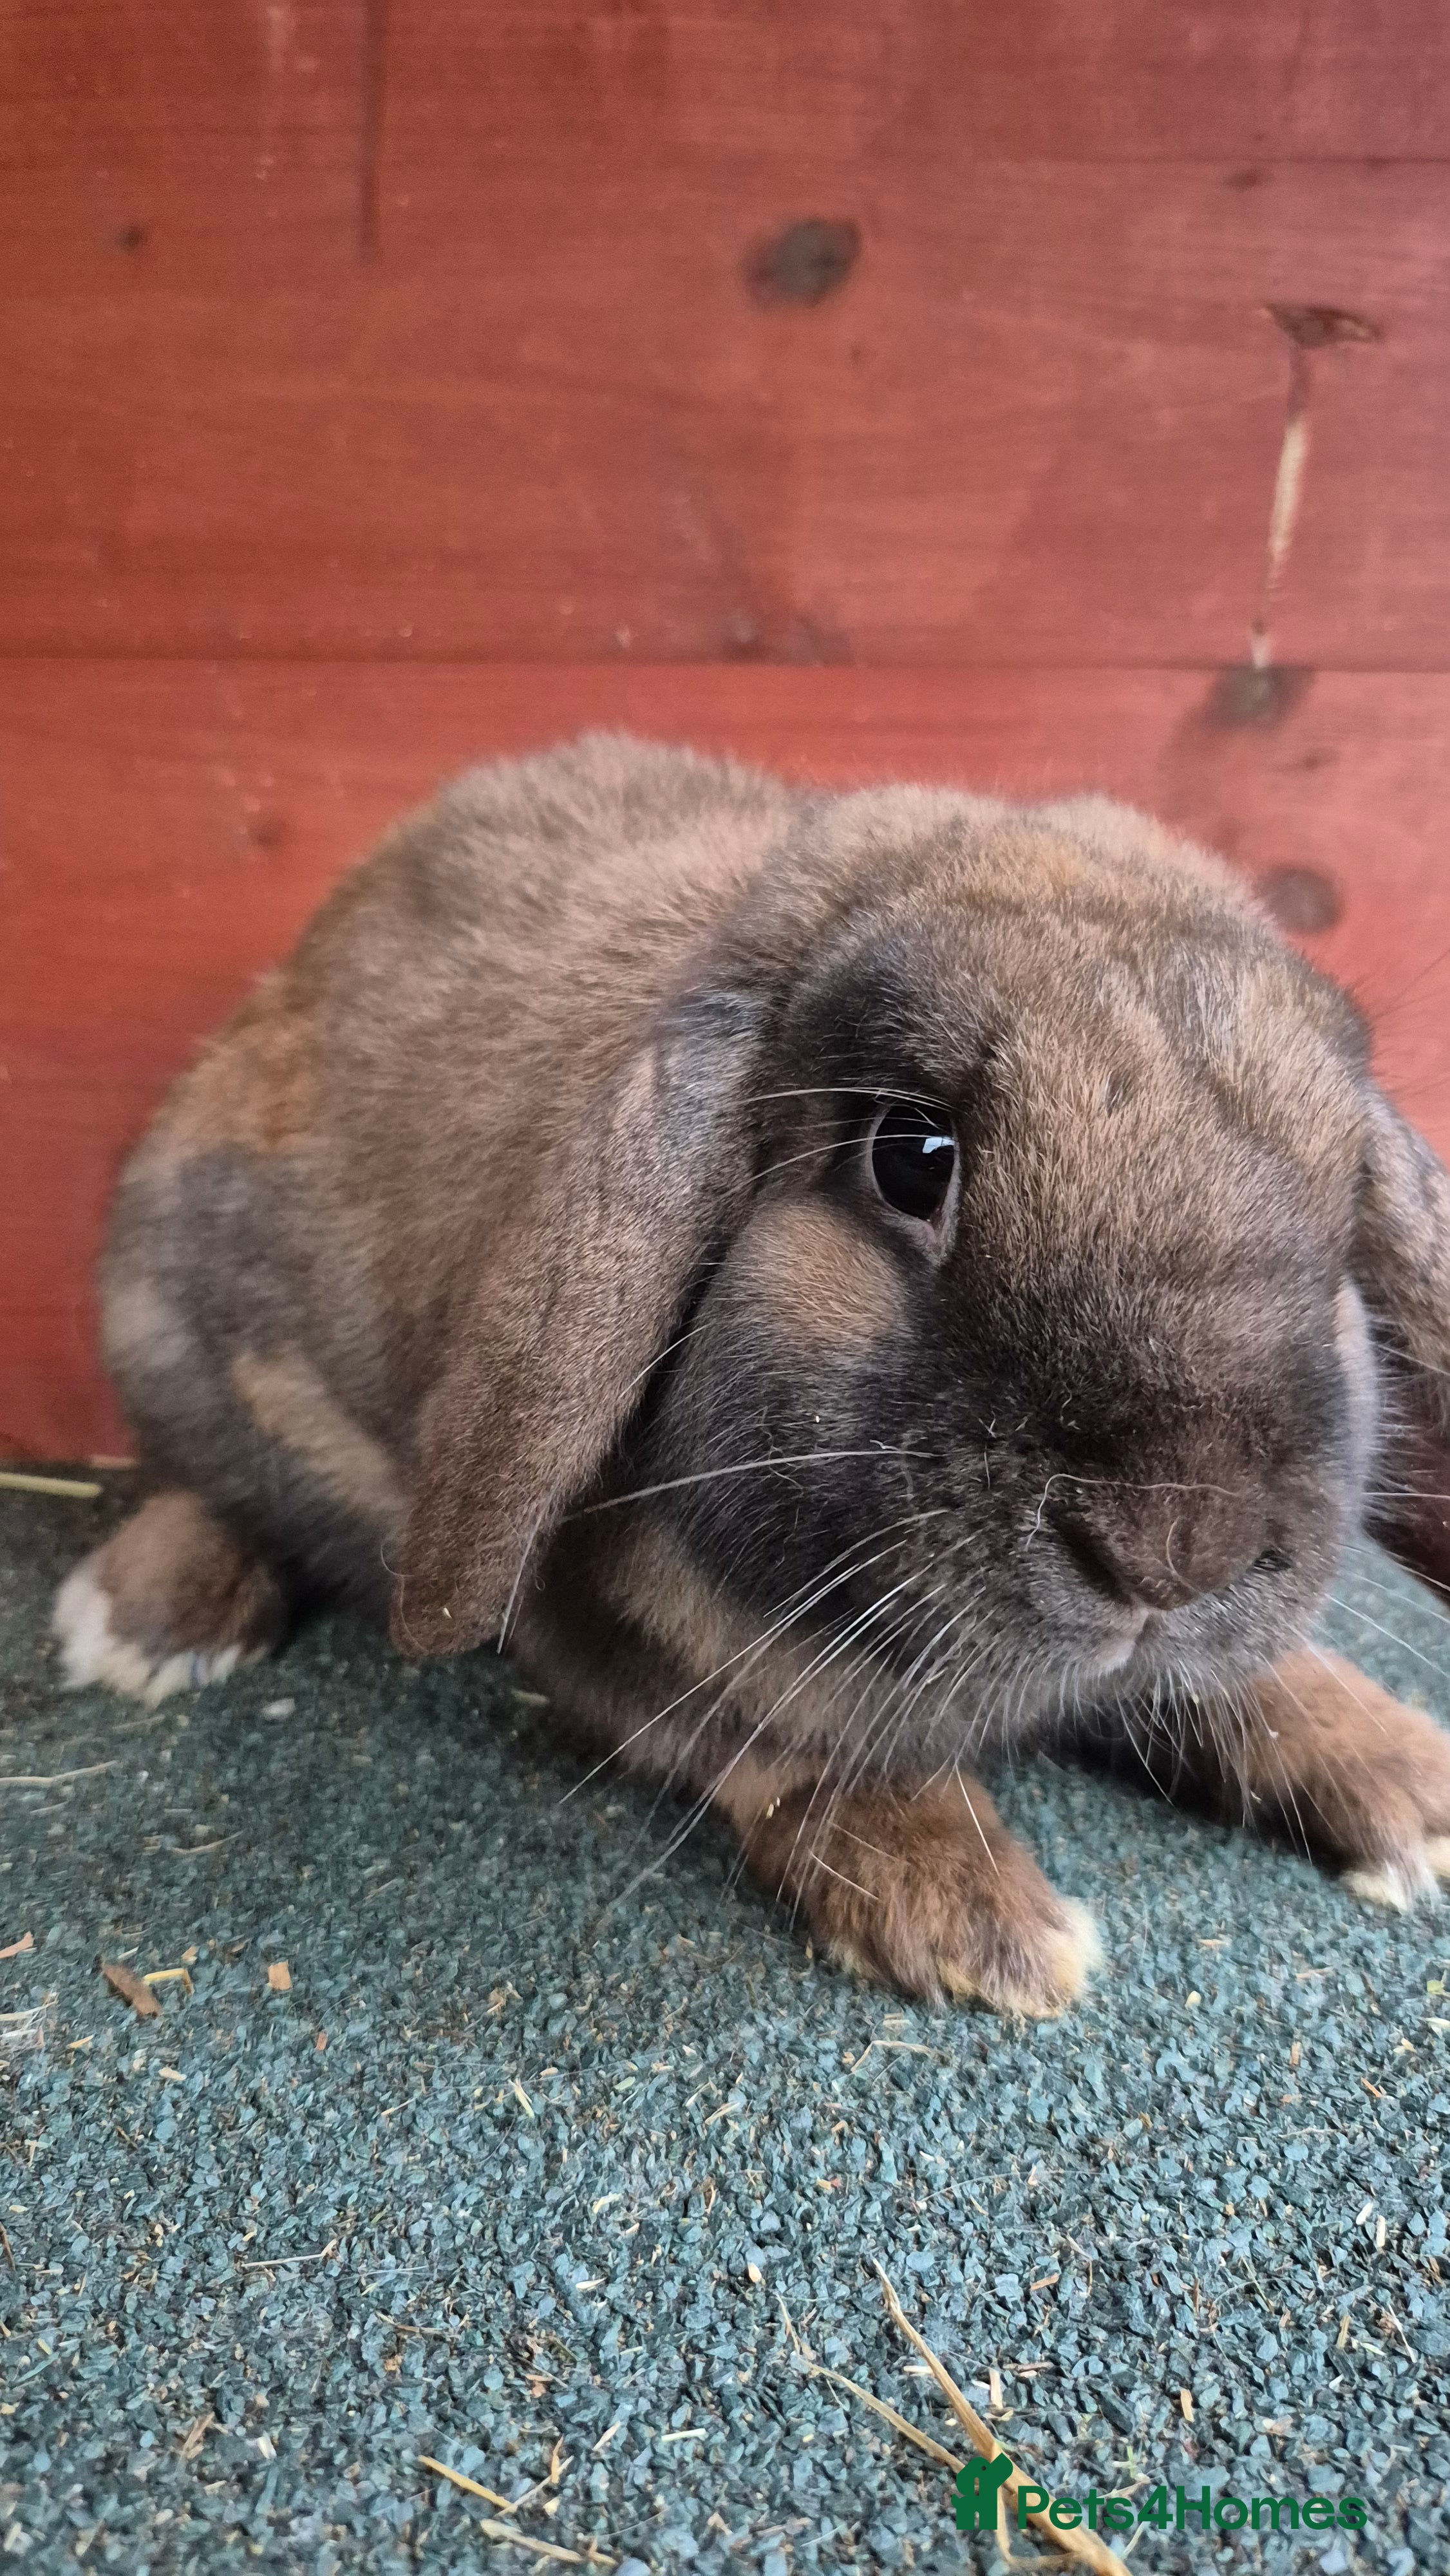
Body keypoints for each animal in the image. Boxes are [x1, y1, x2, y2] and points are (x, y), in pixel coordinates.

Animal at [54, 733, 1450, 2015]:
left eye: (1340, 1199)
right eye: (911, 1156)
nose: (1175, 1548)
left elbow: (1248, 1681)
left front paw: (1410, 1786)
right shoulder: (611, 1640)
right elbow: (786, 1751)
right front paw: (979, 1922)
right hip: (173, 1332)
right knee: (210, 1484)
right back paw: (142, 1622)